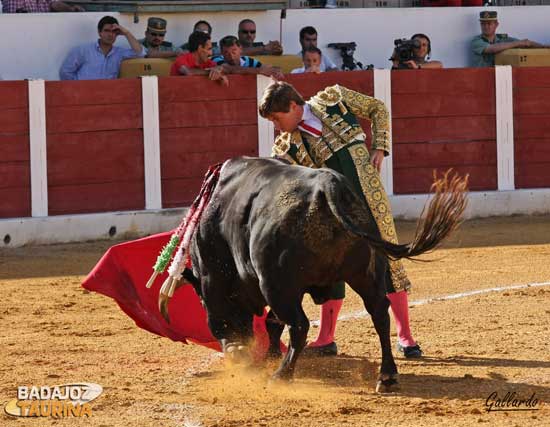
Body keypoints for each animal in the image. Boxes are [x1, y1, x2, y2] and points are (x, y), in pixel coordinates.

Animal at [157, 156, 468, 392]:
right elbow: (272, 322)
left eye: (203, 302)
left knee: (300, 325)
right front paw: (269, 355)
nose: (234, 349)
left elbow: (272, 321)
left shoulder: (235, 278)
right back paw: (387, 376)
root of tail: (327, 187)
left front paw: (266, 359)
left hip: (278, 284)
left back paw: (282, 376)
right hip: (365, 274)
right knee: (380, 313)